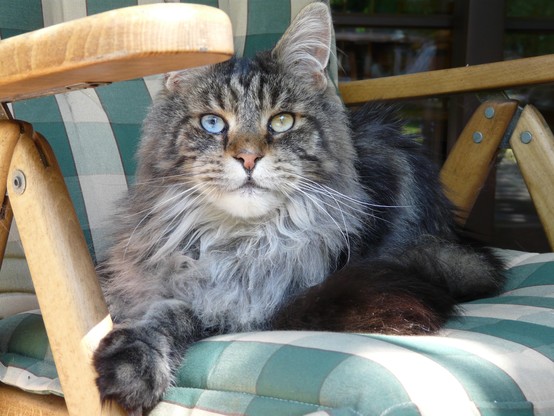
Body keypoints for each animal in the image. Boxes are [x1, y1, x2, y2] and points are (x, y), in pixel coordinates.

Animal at [92, 2, 502, 412]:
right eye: (212, 123)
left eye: (282, 121)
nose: (248, 157)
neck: (236, 240)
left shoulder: (242, 309)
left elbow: (172, 314)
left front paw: (133, 364)